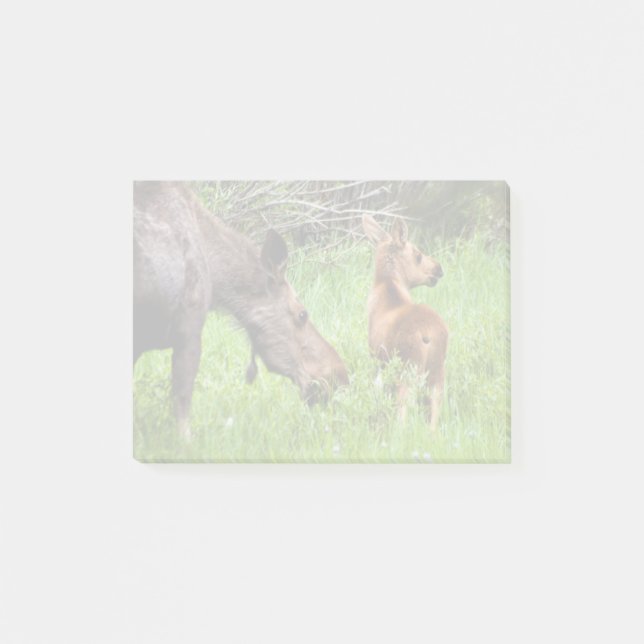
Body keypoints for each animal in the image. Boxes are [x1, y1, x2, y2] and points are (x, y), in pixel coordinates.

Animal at [362, 214, 448, 432]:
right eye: (418, 254)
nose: (439, 268)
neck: (388, 285)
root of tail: (427, 334)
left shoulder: (377, 359)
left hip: (408, 369)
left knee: (404, 409)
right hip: (437, 370)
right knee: (434, 409)